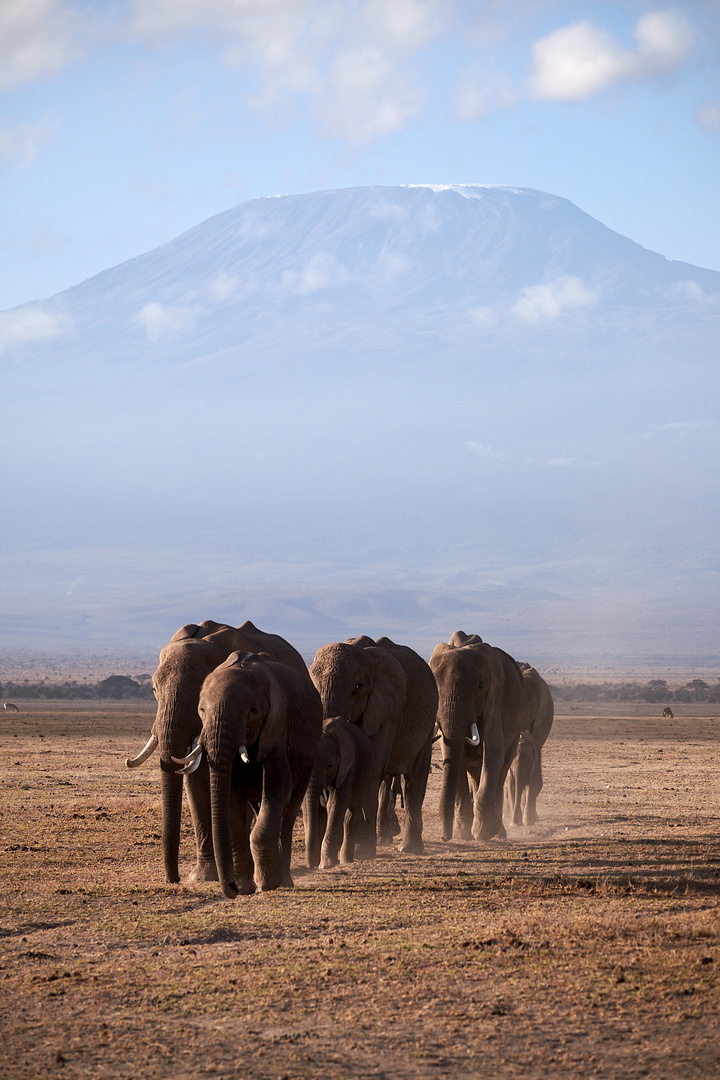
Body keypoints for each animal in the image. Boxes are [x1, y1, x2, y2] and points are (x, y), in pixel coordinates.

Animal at [181, 648, 321, 894]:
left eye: (252, 711)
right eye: (202, 710)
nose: (231, 889)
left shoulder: (278, 726)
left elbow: (277, 789)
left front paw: (268, 884)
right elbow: (232, 799)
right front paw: (245, 886)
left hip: (309, 759)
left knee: (289, 811)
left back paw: (285, 881)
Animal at [302, 717, 375, 868]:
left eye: (329, 766)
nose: (311, 866)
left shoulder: (348, 769)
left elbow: (335, 804)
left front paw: (325, 865)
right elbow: (308, 806)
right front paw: (316, 864)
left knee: (350, 815)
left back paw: (346, 860)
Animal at [308, 635, 436, 855]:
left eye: (358, 687)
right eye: (313, 683)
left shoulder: (387, 709)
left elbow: (373, 765)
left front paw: (362, 849)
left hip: (429, 725)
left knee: (413, 778)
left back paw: (409, 848)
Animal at [427, 630, 539, 842]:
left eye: (480, 687)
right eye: (434, 686)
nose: (445, 837)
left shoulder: (495, 699)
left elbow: (494, 751)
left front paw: (483, 832)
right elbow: (454, 755)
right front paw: (463, 835)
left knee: (501, 772)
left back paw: (499, 833)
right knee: (476, 773)